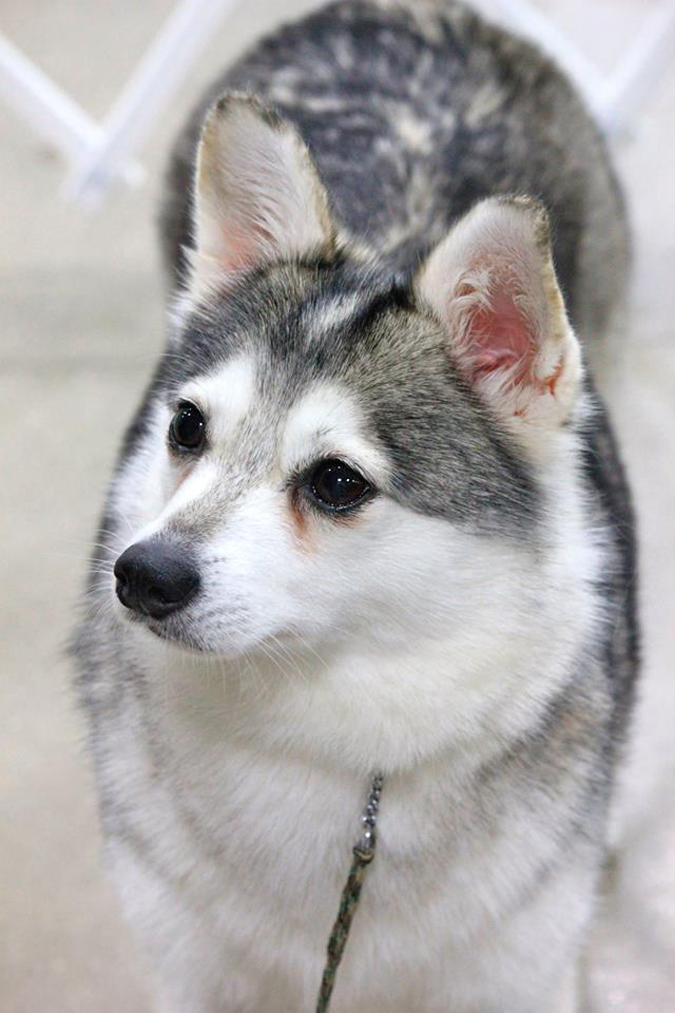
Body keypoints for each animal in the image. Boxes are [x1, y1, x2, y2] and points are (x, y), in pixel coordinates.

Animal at [73, 1, 639, 1010]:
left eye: (336, 482)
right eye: (186, 426)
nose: (143, 575)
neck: (318, 732)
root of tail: (404, 11)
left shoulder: (514, 966)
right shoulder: (189, 959)